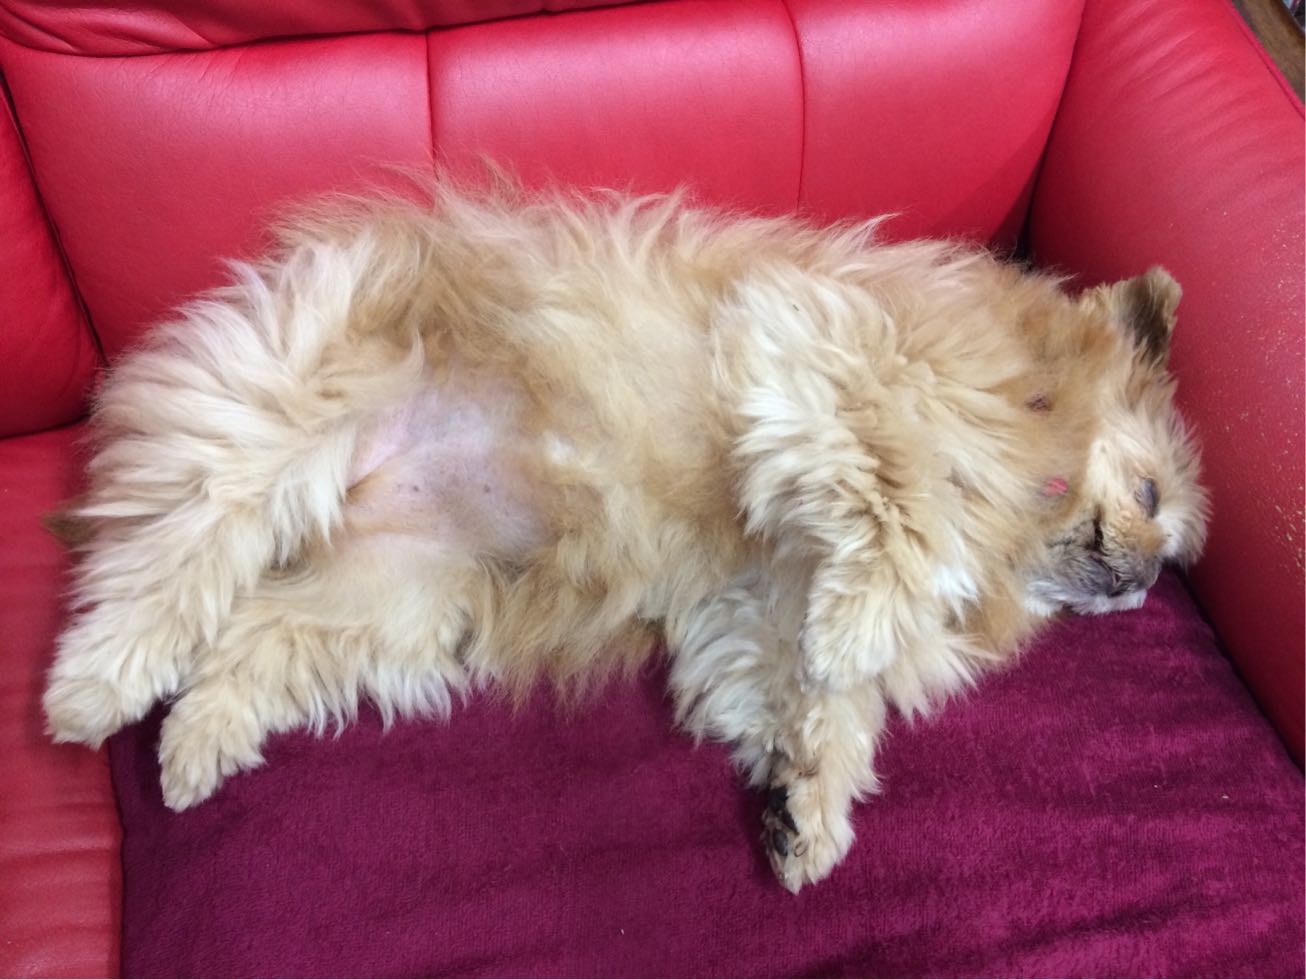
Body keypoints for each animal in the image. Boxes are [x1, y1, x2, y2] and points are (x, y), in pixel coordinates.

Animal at [43, 180, 1208, 892]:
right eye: (1152, 493)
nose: (1146, 581)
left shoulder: (758, 593)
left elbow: (814, 695)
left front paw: (809, 805)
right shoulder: (826, 358)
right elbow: (900, 502)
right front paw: (868, 621)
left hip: (397, 598)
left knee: (257, 635)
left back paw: (197, 744)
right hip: (267, 431)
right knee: (172, 560)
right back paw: (95, 686)